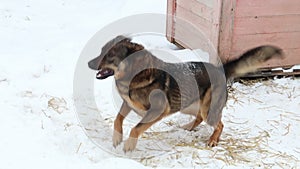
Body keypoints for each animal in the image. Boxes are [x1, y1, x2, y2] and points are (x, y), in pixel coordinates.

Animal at [87, 35, 284, 152]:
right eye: (102, 51)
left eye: (109, 55)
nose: (88, 63)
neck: (134, 74)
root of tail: (220, 69)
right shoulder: (128, 104)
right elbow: (117, 118)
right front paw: (117, 137)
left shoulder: (157, 110)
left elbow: (136, 127)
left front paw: (129, 144)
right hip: (186, 104)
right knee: (199, 118)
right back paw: (189, 127)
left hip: (207, 109)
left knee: (219, 124)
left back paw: (213, 140)